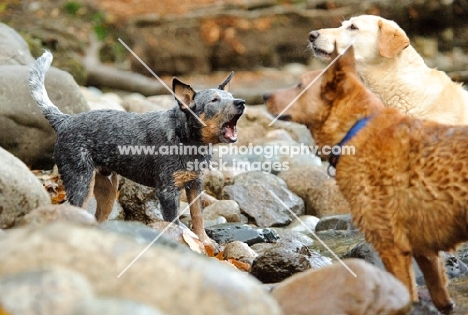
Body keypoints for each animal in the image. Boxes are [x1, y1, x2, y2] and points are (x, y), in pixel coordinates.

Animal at [28, 51, 245, 249]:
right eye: (214, 101)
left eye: (231, 97)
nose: (241, 102)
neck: (186, 140)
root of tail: (64, 120)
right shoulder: (167, 192)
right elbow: (175, 225)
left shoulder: (195, 184)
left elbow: (198, 217)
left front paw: (206, 242)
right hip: (81, 183)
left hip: (107, 190)